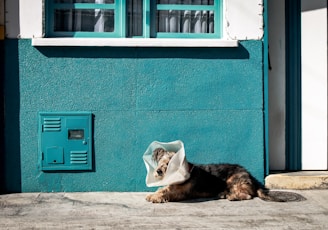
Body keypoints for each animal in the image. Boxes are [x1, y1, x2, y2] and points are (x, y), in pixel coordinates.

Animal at [145, 147, 284, 203]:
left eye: (170, 163)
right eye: (161, 161)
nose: (158, 171)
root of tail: (252, 177)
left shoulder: (181, 191)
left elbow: (166, 191)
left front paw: (155, 197)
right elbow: (163, 188)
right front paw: (154, 194)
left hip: (232, 179)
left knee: (248, 195)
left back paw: (232, 196)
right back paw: (224, 194)